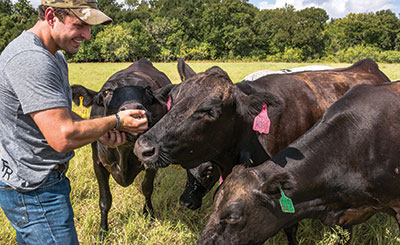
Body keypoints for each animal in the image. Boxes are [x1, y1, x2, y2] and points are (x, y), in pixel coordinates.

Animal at [71, 57, 170, 237]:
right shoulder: (98, 162)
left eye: (148, 90)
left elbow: (147, 188)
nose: (133, 112)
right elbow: (105, 200)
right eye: (106, 92)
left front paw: (149, 215)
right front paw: (103, 231)